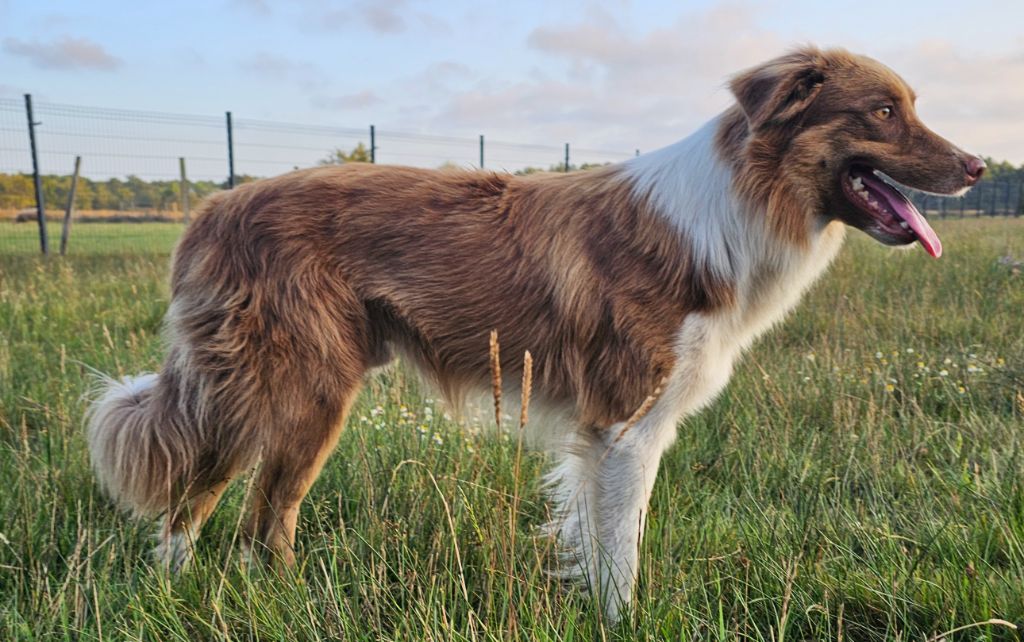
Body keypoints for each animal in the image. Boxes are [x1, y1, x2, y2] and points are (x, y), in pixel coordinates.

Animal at [88, 47, 983, 618]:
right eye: (882, 112)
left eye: (910, 108)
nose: (978, 166)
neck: (741, 204)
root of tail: (214, 204)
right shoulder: (624, 426)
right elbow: (621, 552)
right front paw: (621, 623)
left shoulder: (611, 434)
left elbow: (598, 538)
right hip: (294, 390)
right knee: (226, 508)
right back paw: (205, 591)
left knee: (246, 512)